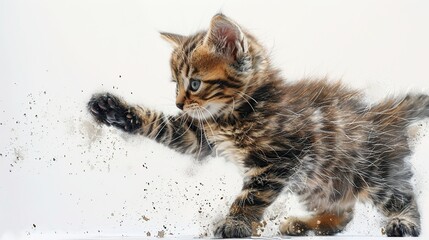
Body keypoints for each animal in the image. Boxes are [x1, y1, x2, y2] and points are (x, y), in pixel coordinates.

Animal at [88, 14, 426, 237]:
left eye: (194, 83)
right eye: (175, 85)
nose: (179, 104)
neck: (236, 111)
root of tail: (384, 112)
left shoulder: (280, 158)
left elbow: (251, 195)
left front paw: (235, 223)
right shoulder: (197, 136)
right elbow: (162, 126)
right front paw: (111, 109)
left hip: (369, 171)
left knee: (401, 196)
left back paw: (403, 223)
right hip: (317, 184)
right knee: (343, 213)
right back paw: (307, 224)